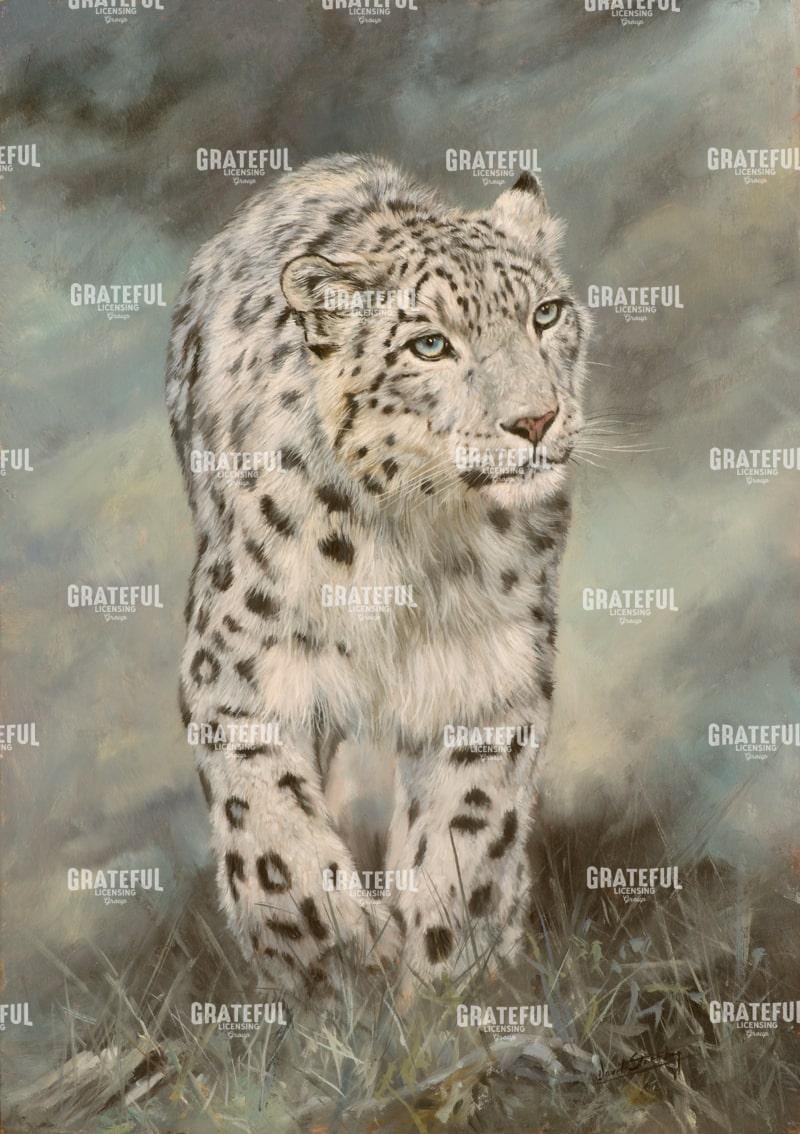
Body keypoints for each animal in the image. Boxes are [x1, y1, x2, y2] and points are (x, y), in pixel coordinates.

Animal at [166, 153, 589, 1007]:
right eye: (429, 345)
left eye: (546, 314)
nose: (535, 419)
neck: (413, 539)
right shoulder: (240, 667)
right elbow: (267, 820)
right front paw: (331, 955)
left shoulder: (488, 677)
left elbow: (469, 828)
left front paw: (442, 982)